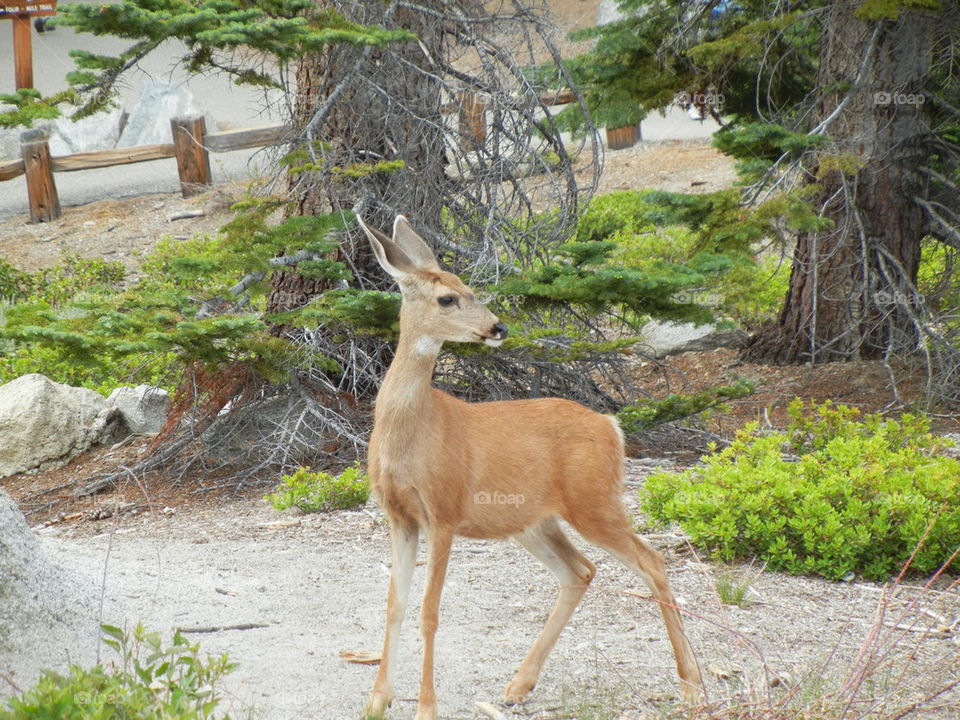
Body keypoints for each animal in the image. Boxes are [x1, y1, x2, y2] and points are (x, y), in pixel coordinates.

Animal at [357, 215, 704, 720]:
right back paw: (518, 685)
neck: (411, 432)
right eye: (448, 298)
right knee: (580, 571)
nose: (498, 326)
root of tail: (611, 425)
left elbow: (429, 611)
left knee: (652, 561)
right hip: (533, 521)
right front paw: (377, 699)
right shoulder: (399, 515)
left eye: (471, 288)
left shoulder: (445, 510)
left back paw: (692, 684)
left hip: (593, 500)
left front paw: (426, 707)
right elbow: (394, 605)